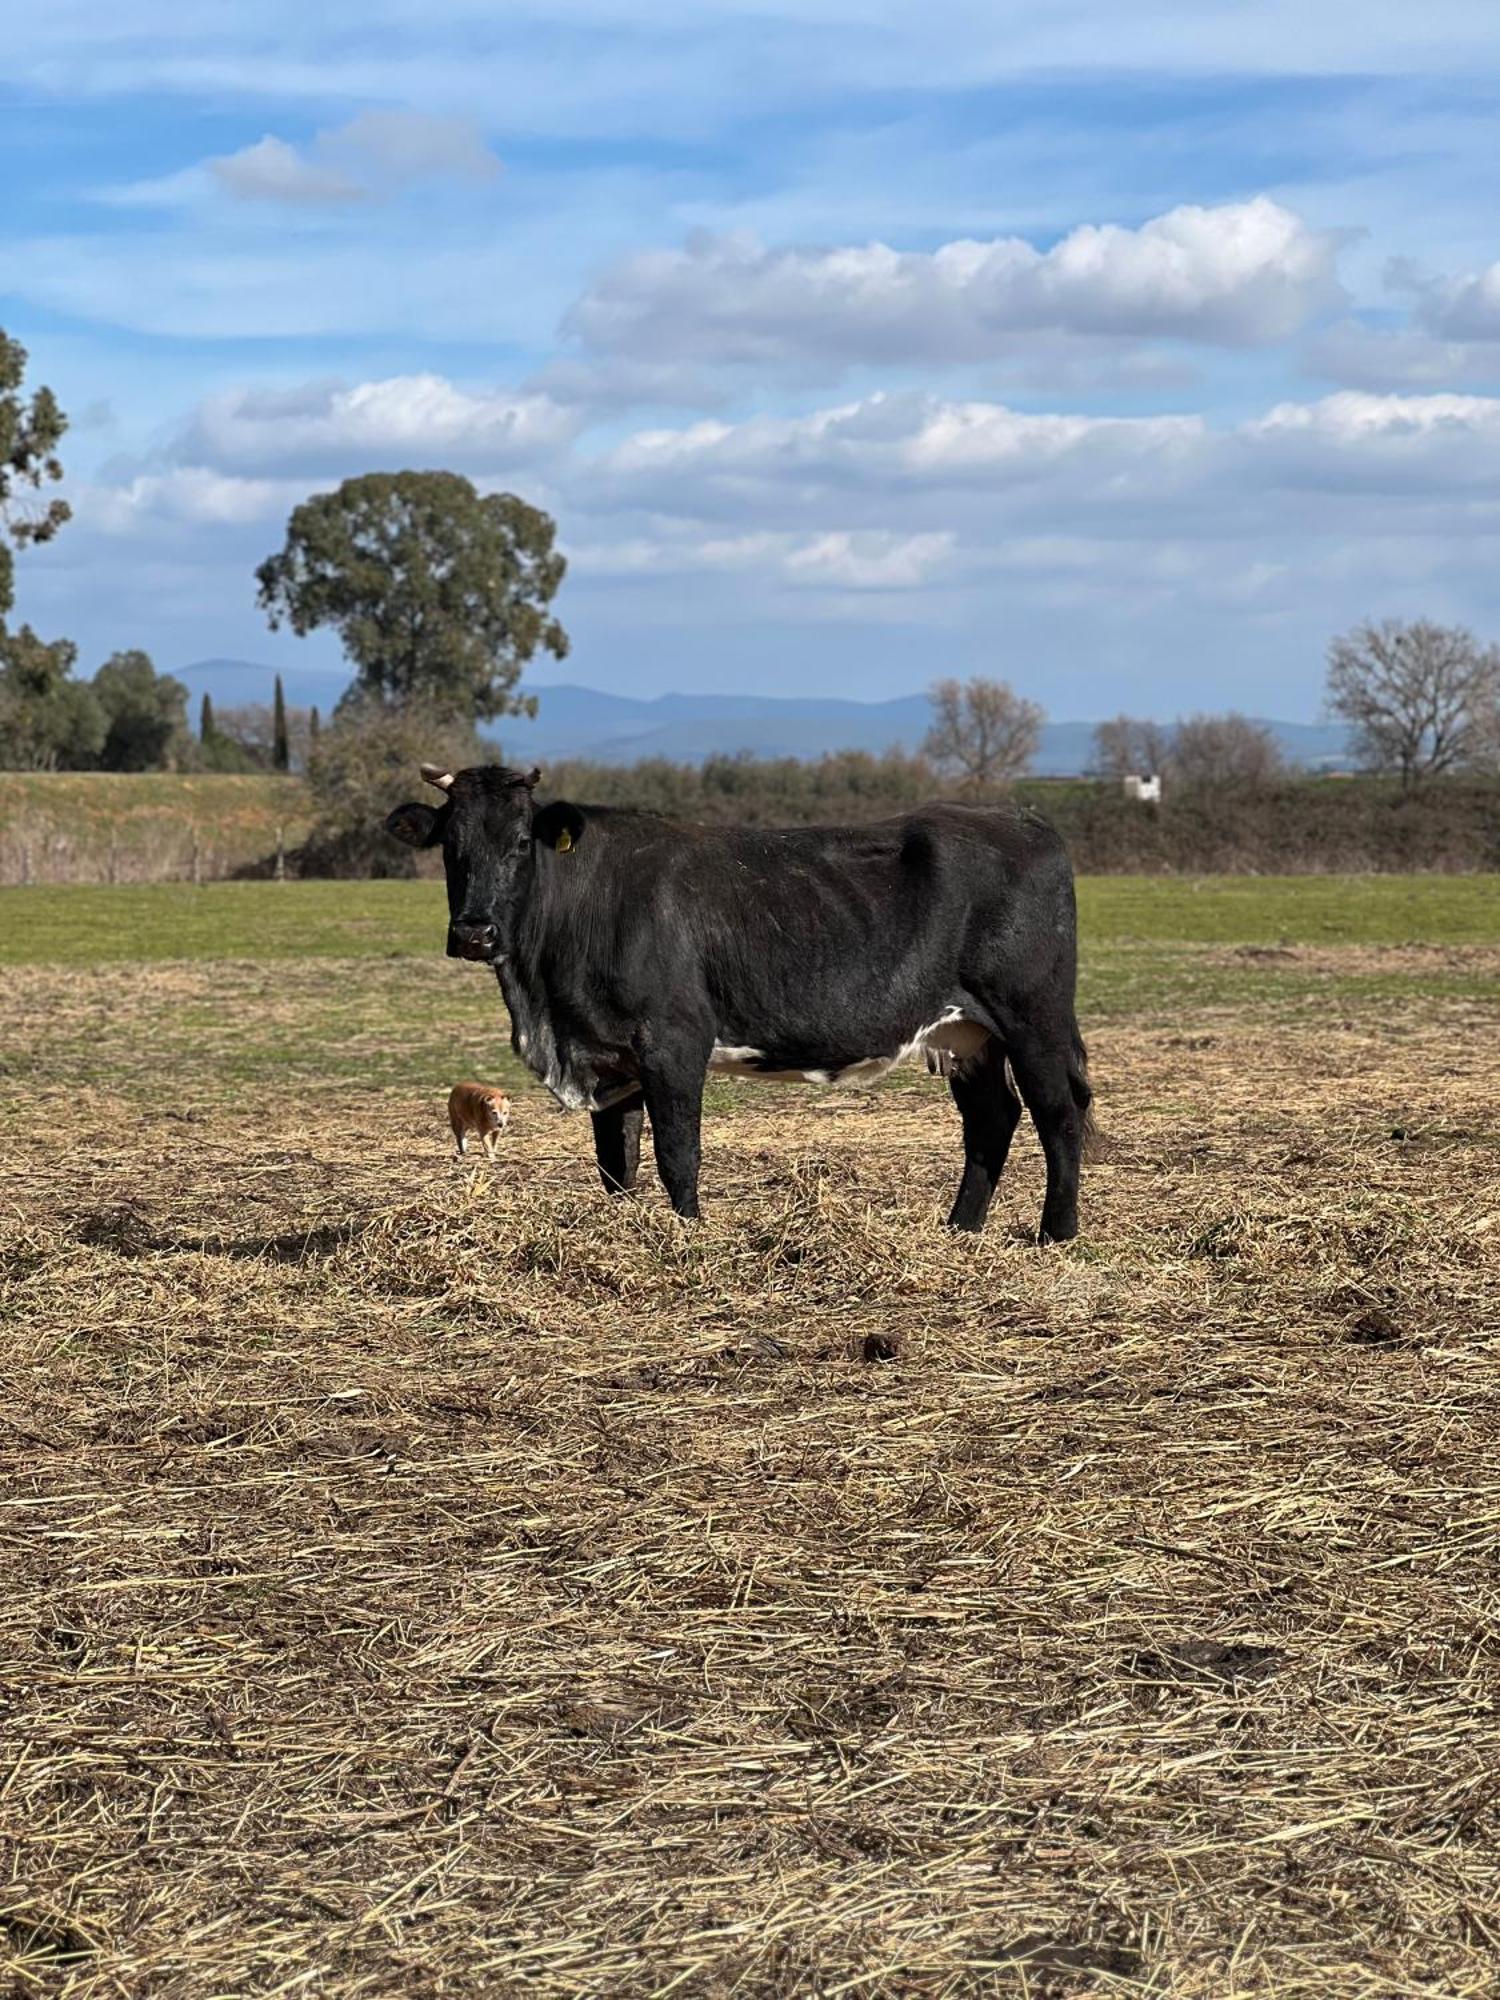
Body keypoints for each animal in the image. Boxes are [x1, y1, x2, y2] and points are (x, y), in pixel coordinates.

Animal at [388, 760, 1096, 1232]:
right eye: (451, 846)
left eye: (519, 842)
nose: (474, 932)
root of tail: (1019, 817)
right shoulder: (609, 1056)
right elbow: (617, 1162)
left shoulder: (673, 1043)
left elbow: (678, 1153)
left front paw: (688, 1235)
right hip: (966, 1033)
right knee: (992, 1118)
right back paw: (959, 1229)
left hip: (1033, 1018)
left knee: (1057, 1114)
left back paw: (1054, 1234)